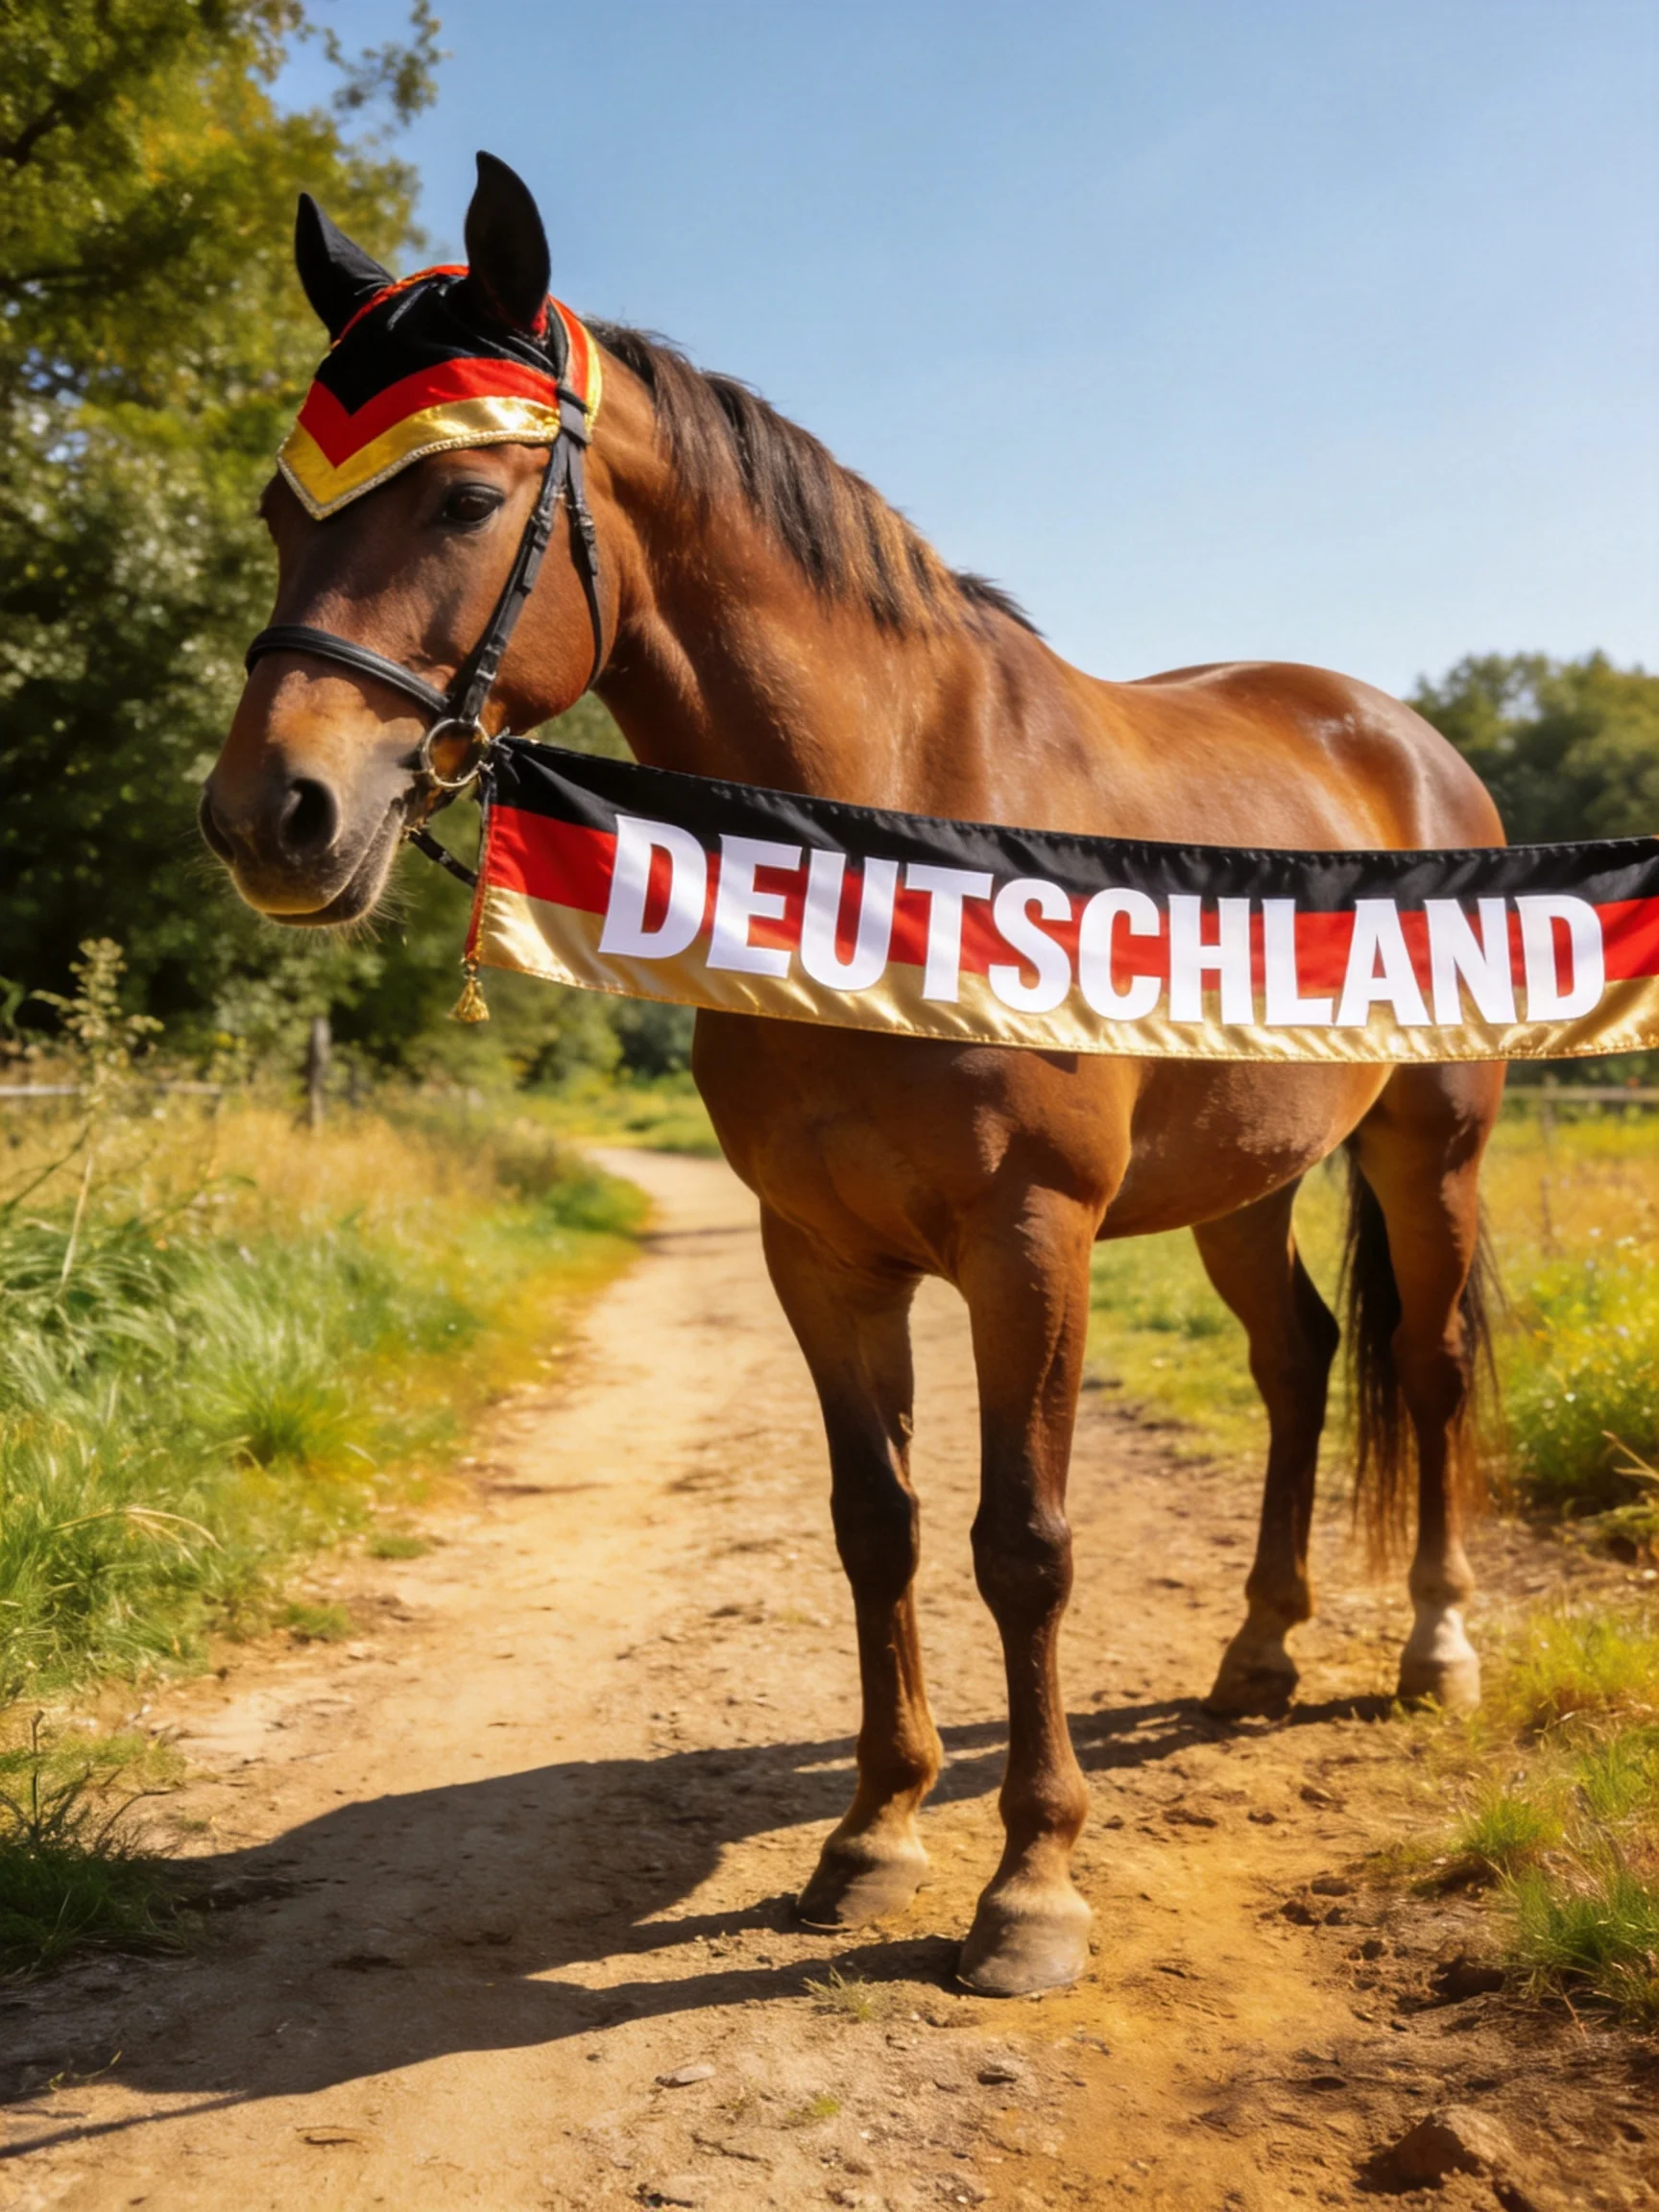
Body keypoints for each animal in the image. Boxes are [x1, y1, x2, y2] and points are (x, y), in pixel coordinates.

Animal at [202, 154, 1503, 1998]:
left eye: (462, 498)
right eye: (279, 509)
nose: (272, 816)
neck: (887, 828)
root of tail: (1400, 735)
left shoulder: (1027, 1243)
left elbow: (1021, 1544)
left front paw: (1030, 1885)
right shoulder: (818, 1251)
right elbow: (873, 1522)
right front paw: (876, 1833)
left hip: (1427, 1146)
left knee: (1432, 1366)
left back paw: (1434, 1650)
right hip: (1235, 1184)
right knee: (1300, 1359)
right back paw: (1258, 1652)